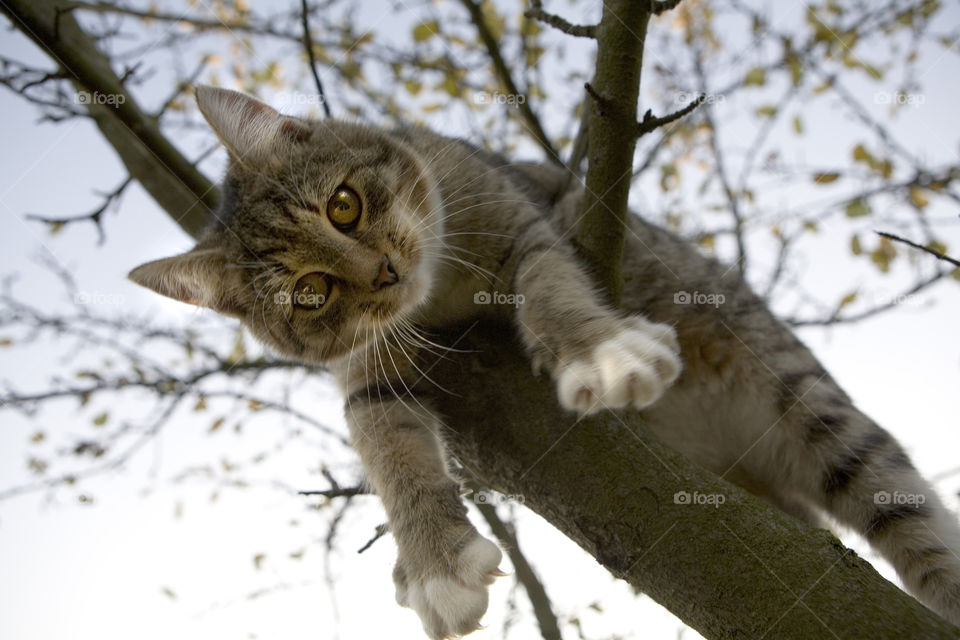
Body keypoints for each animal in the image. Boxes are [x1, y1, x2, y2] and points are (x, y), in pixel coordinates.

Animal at [129, 86, 960, 640]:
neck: (437, 295)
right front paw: (431, 559)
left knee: (901, 509)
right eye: (311, 292)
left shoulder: (526, 226)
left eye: (343, 205)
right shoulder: (366, 369)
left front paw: (601, 349)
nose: (383, 276)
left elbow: (551, 287)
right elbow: (383, 442)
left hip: (811, 406)